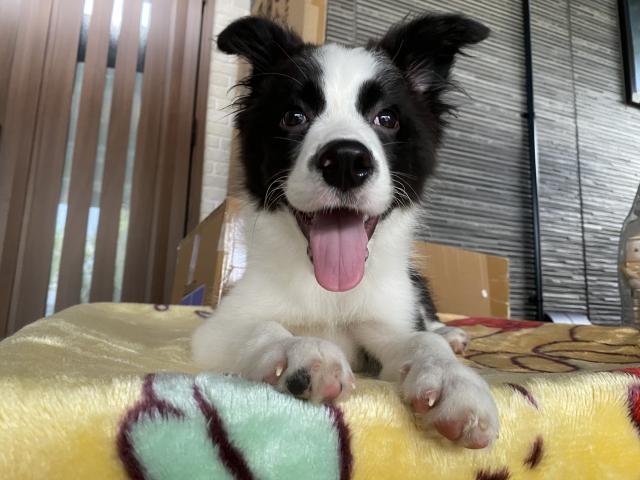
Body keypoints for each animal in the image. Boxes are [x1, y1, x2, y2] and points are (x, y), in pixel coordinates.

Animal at [192, 13, 498, 449]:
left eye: (387, 118)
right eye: (293, 117)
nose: (345, 162)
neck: (330, 294)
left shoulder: (384, 325)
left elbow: (421, 339)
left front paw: (454, 381)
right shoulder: (216, 329)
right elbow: (261, 327)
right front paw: (300, 352)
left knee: (429, 323)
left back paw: (451, 334)